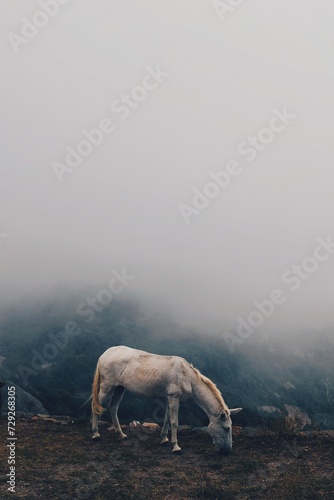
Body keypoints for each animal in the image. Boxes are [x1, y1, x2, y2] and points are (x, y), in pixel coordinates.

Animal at [91, 346, 243, 456]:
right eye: (226, 428)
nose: (227, 451)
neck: (187, 377)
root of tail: (105, 354)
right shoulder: (174, 397)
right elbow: (174, 421)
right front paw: (176, 447)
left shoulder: (171, 398)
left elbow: (167, 418)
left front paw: (164, 439)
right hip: (107, 387)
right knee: (96, 406)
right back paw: (95, 434)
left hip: (119, 388)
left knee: (113, 407)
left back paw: (121, 435)